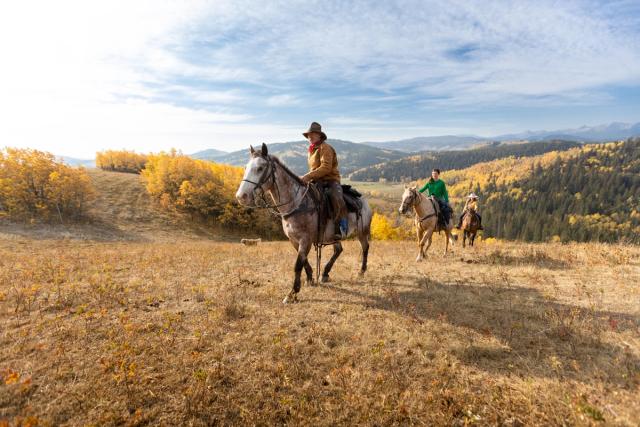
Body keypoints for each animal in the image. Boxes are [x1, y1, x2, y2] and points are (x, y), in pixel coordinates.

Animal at [236, 144, 376, 304]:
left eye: (260, 168)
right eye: (246, 167)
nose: (241, 196)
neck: (297, 203)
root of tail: (363, 200)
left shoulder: (305, 239)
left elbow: (297, 265)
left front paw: (292, 293)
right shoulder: (294, 240)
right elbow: (304, 261)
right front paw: (310, 279)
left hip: (362, 232)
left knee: (365, 247)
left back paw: (361, 271)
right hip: (334, 236)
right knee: (338, 250)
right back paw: (325, 273)